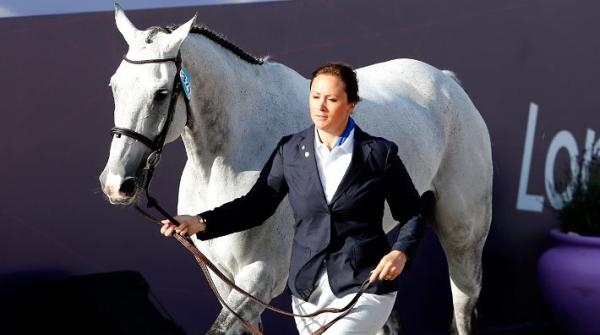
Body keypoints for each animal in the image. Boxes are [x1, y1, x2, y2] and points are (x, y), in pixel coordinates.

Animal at [99, 5, 492, 335]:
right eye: (114, 86)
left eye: (161, 94)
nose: (117, 184)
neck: (225, 162)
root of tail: (447, 83)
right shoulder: (227, 281)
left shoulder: (261, 275)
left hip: (463, 236)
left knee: (462, 303)